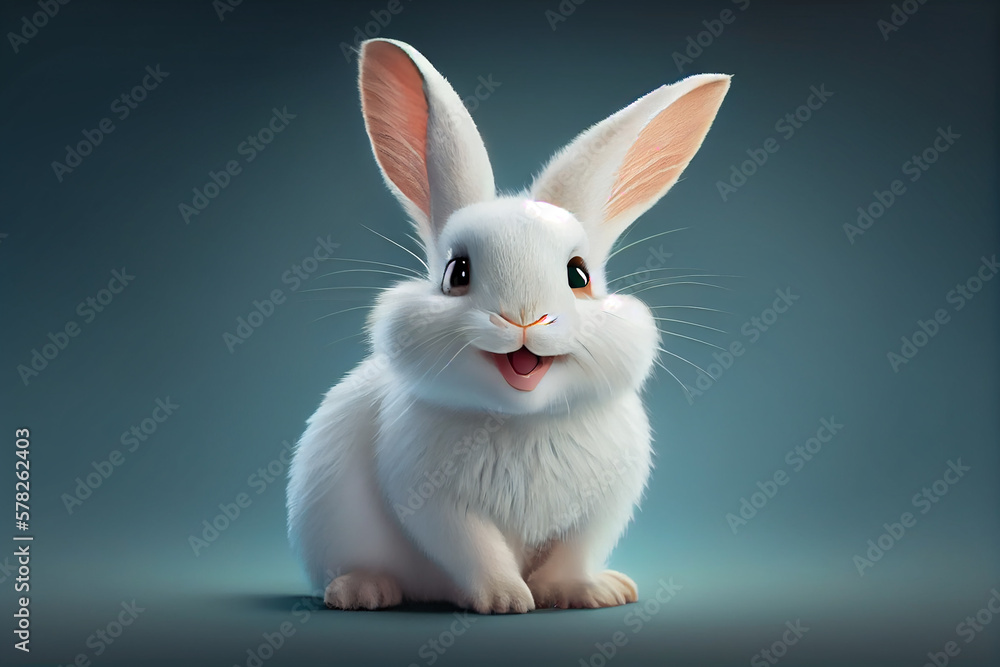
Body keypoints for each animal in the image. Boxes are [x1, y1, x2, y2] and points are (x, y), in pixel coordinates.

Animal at [286, 37, 730, 614]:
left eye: (579, 275)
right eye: (457, 273)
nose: (524, 317)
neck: (525, 421)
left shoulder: (602, 508)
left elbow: (573, 556)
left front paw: (587, 593)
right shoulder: (435, 503)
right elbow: (477, 550)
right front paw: (506, 600)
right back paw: (364, 591)